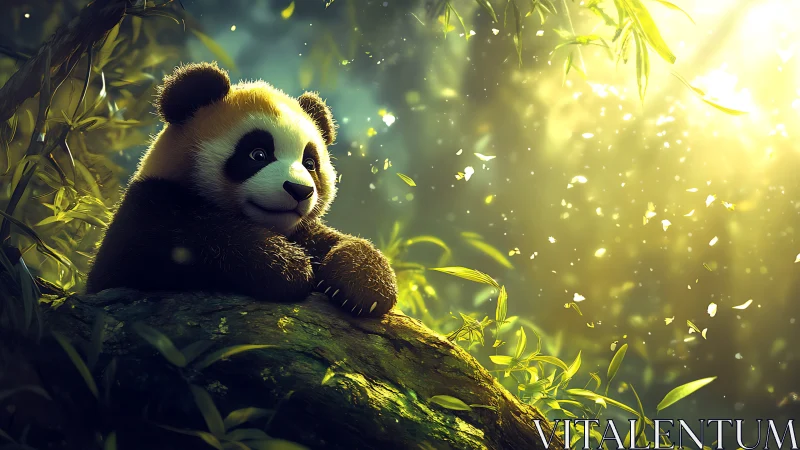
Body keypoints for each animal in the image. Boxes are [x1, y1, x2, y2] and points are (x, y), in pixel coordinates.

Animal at [85, 62, 398, 317]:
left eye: (310, 163)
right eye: (258, 154)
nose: (299, 191)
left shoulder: (302, 230)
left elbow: (338, 241)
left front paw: (362, 285)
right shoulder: (146, 207)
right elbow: (174, 242)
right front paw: (287, 266)